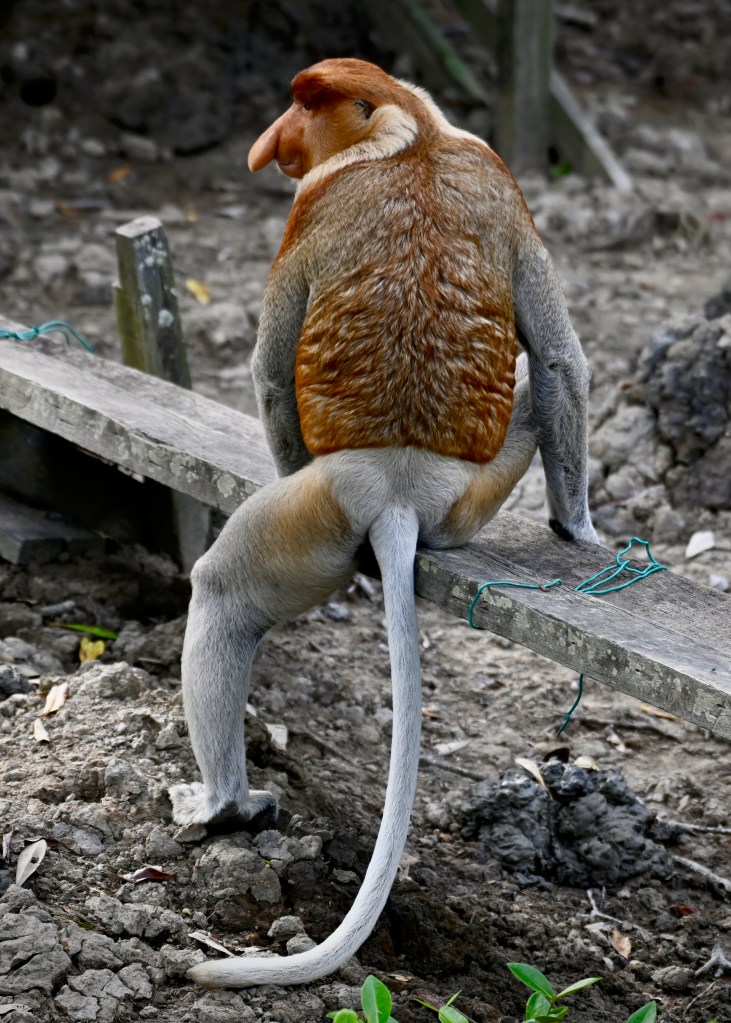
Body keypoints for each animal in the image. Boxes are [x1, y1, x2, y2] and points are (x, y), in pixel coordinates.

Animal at [169, 57, 598, 988]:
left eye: (305, 106)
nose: (272, 143)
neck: (414, 135)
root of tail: (398, 486)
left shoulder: (312, 207)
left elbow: (269, 367)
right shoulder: (502, 183)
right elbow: (557, 357)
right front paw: (584, 531)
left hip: (316, 509)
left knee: (221, 591)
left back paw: (225, 807)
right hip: (472, 489)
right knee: (537, 385)